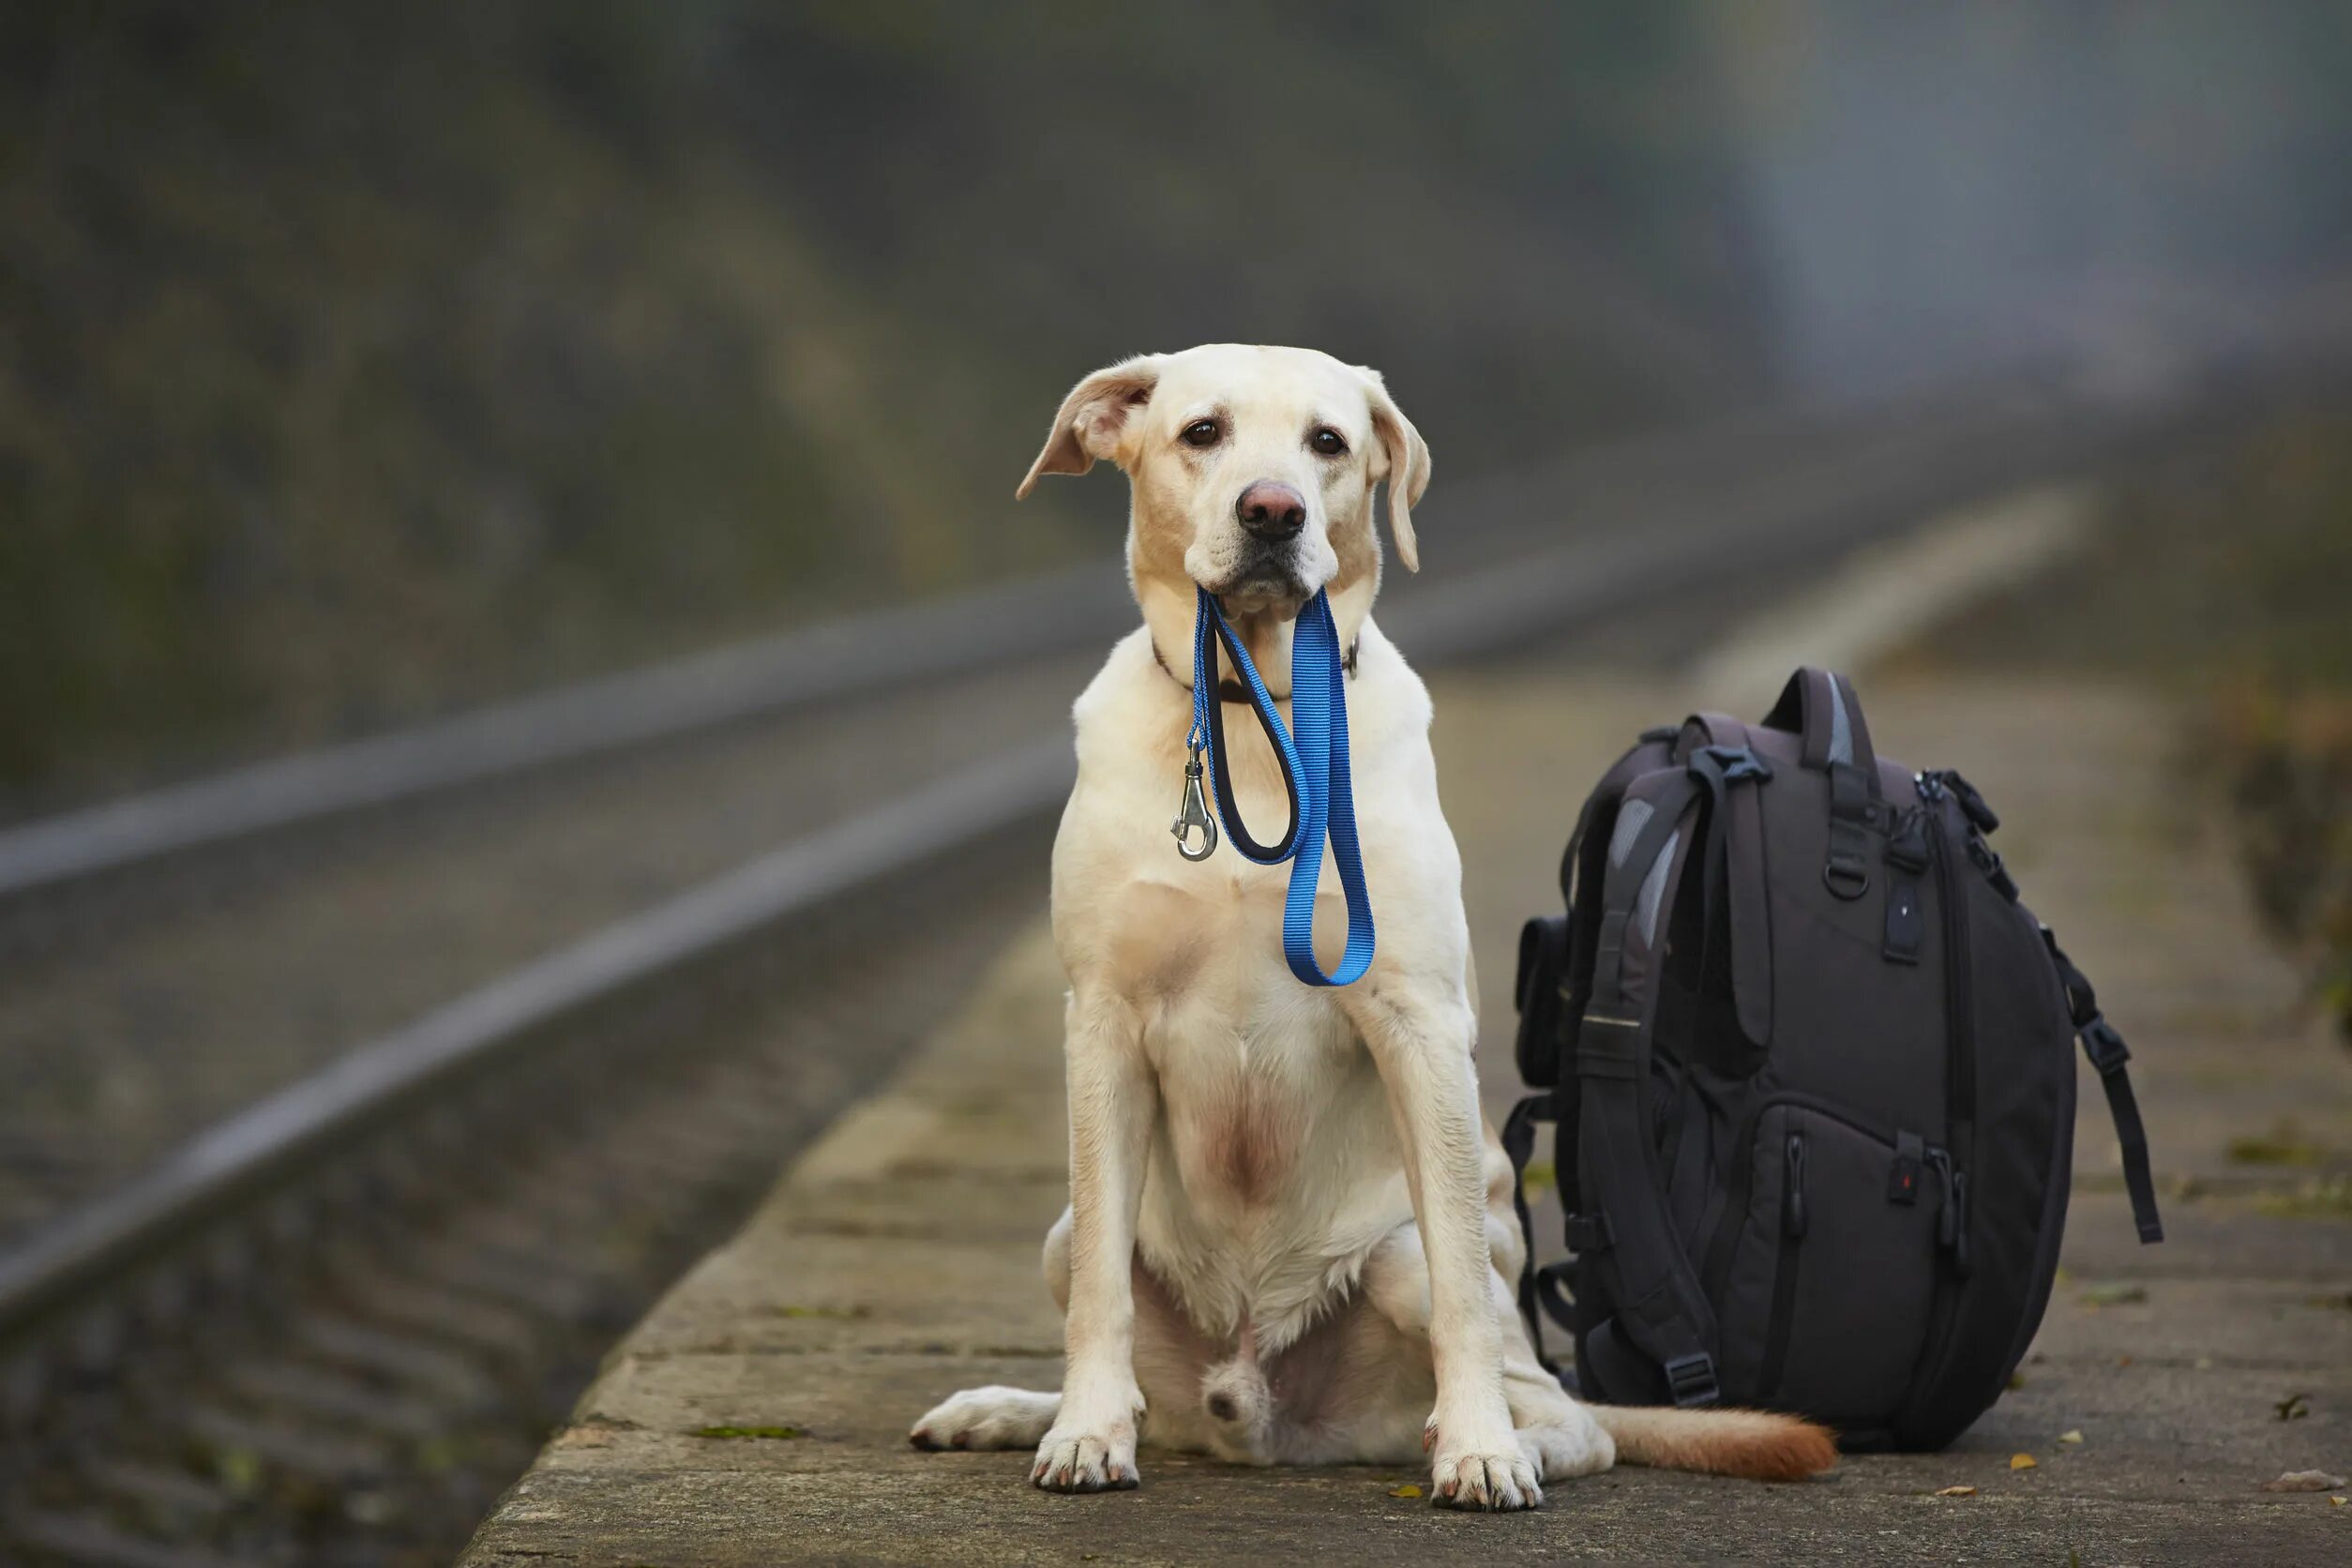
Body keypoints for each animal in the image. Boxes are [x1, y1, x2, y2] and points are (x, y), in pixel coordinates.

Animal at [908, 345, 1825, 1504]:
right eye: (1202, 432)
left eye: (1328, 443)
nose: (1273, 510)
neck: (1255, 716)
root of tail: (1261, 1415)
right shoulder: (1103, 1021)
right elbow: (1102, 1297)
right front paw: (1082, 1433)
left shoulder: (1417, 1024)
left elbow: (1468, 1297)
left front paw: (1480, 1451)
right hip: (1063, 1237)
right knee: (1138, 1358)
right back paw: (1017, 1410)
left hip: (1402, 1263)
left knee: (1569, 1408)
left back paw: (1496, 1439)